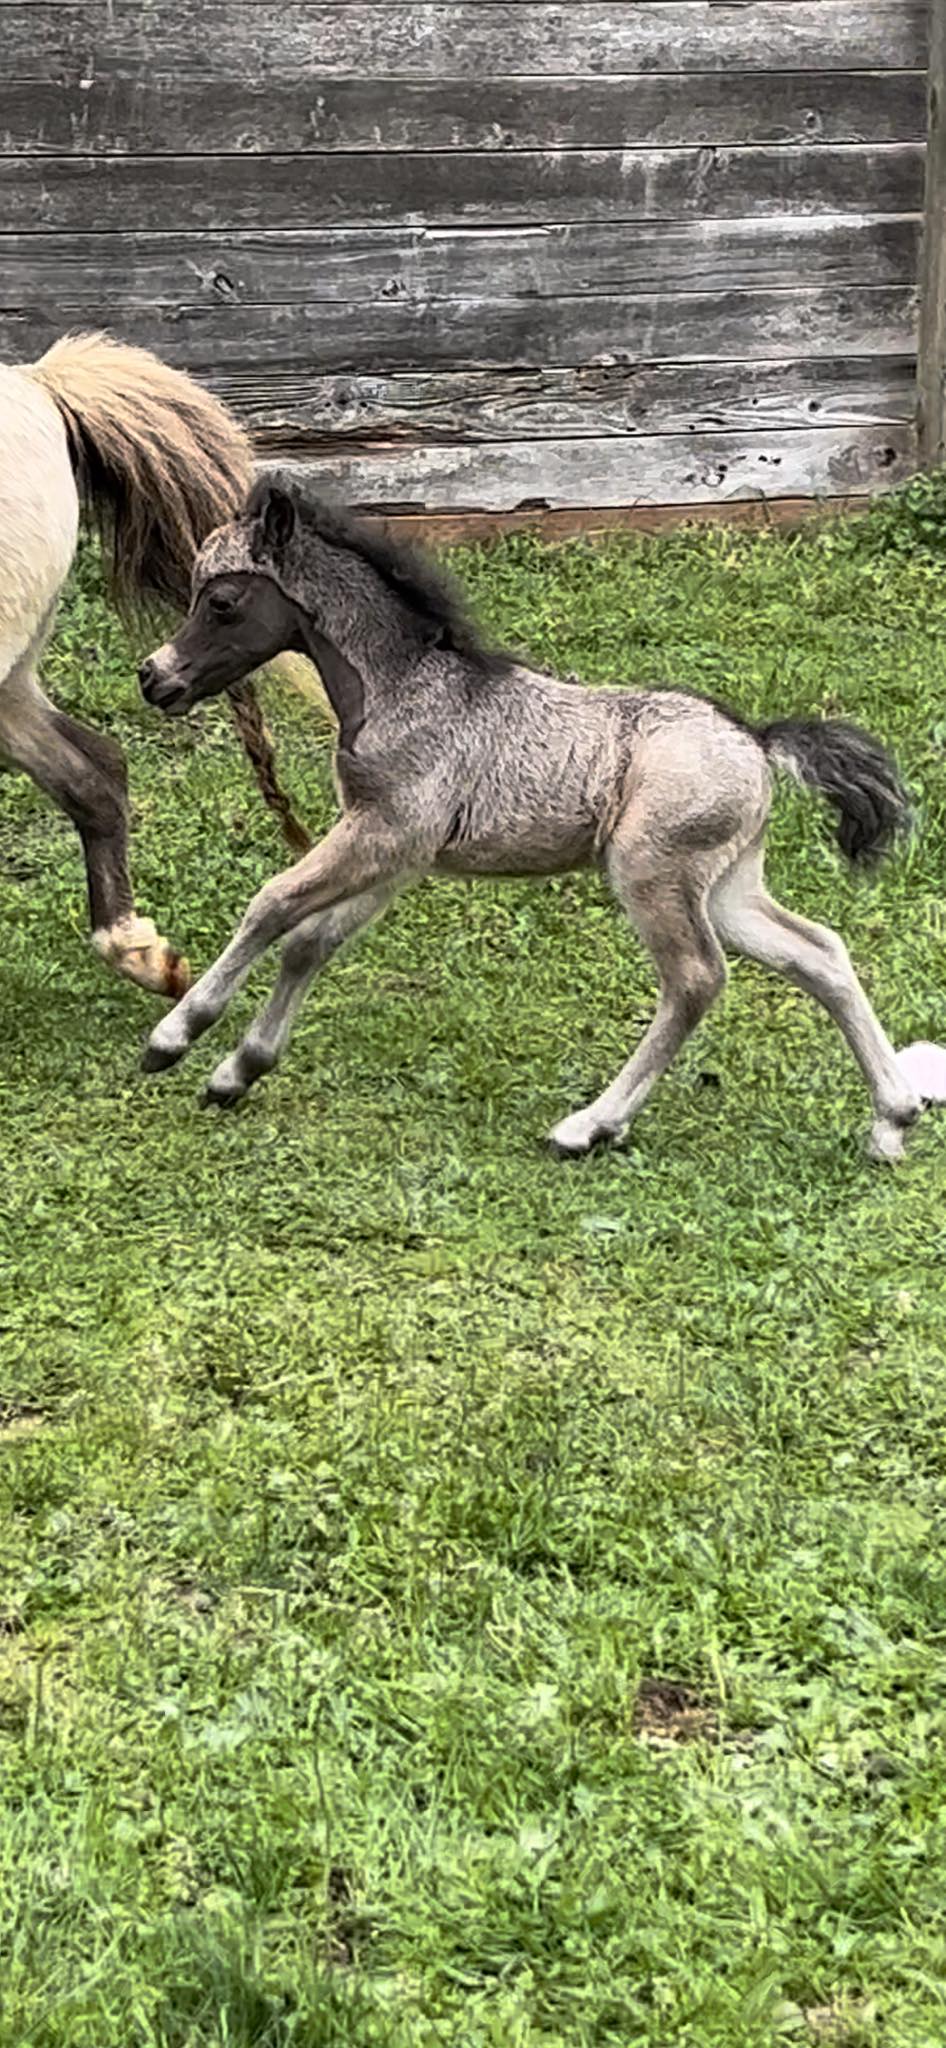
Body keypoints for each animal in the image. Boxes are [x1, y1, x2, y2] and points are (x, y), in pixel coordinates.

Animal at [136, 474, 937, 1163]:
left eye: (223, 601)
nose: (154, 677)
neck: (402, 689)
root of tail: (759, 741)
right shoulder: (397, 852)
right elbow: (311, 941)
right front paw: (240, 1069)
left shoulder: (384, 832)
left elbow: (271, 905)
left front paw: (176, 1036)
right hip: (728, 886)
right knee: (818, 952)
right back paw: (892, 1120)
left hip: (653, 872)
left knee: (695, 979)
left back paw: (588, 1126)